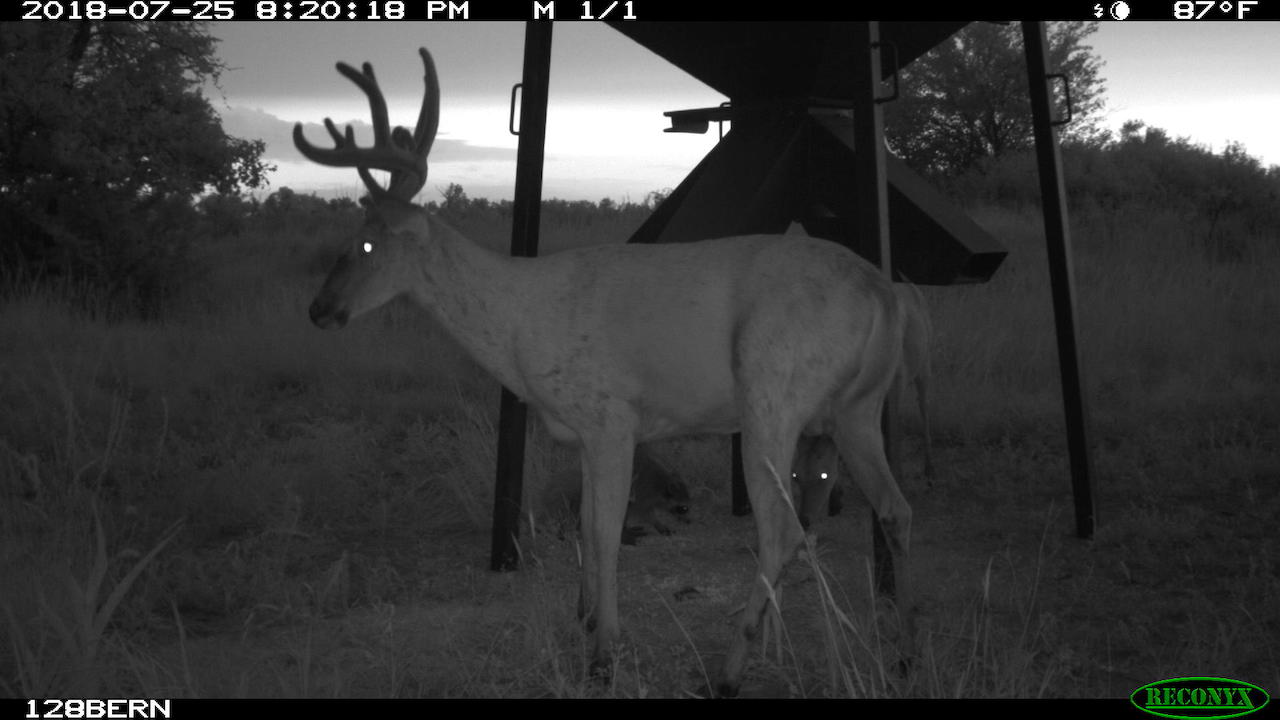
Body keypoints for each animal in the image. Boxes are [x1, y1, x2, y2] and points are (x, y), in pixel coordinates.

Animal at [295, 47, 914, 697]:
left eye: (367, 246)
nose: (319, 309)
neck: (521, 323)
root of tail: (883, 292)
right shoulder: (585, 435)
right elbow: (589, 529)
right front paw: (586, 620)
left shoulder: (613, 418)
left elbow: (607, 533)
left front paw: (603, 653)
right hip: (855, 409)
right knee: (894, 509)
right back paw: (902, 651)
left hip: (773, 396)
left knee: (783, 530)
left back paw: (729, 669)